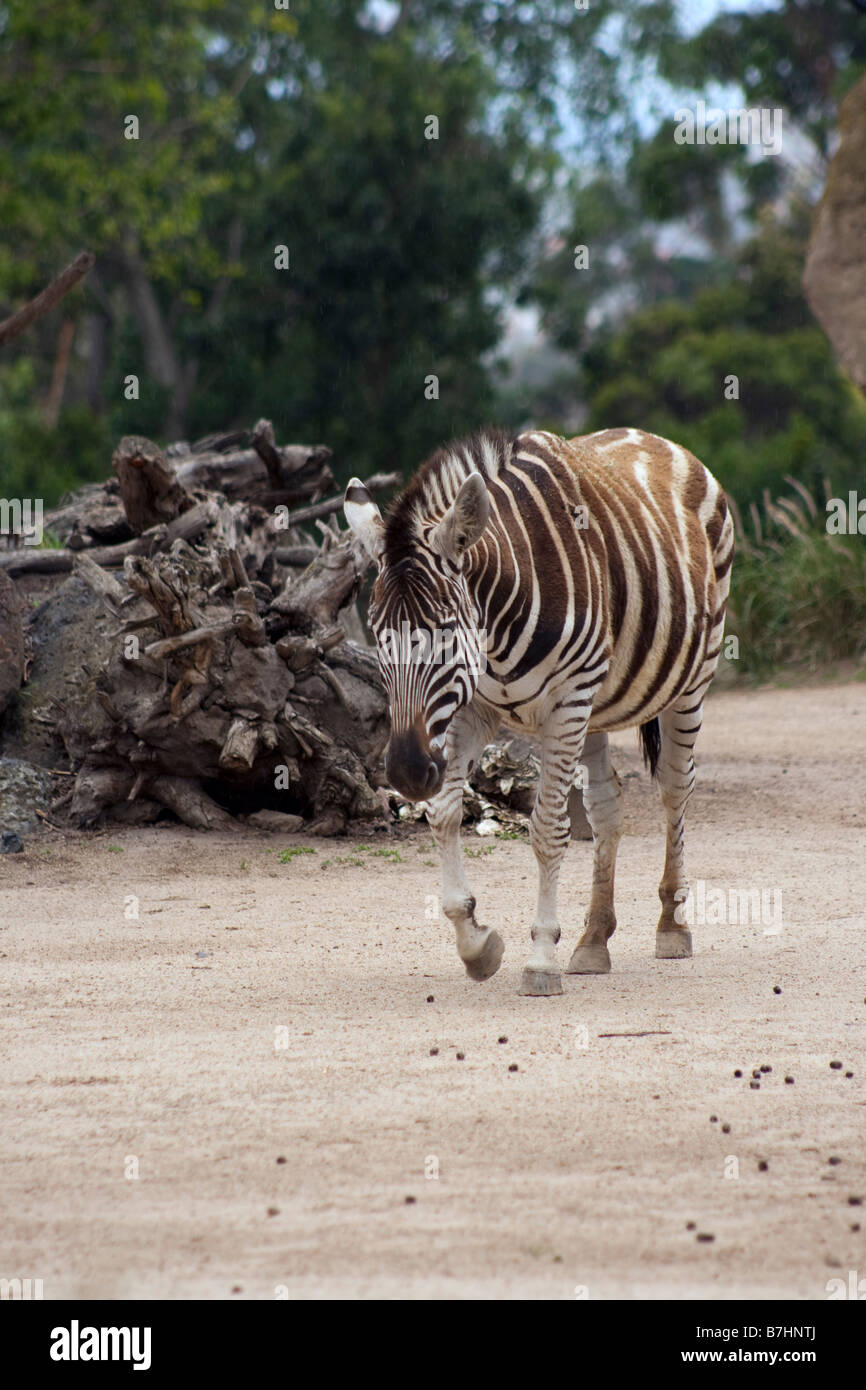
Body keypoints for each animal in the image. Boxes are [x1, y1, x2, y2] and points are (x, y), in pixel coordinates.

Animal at [341, 428, 733, 995]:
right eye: (377, 634)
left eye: (444, 629)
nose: (408, 772)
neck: (497, 627)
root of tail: (654, 438)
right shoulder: (472, 708)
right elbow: (443, 813)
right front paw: (477, 944)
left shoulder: (566, 703)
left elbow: (548, 830)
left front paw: (541, 959)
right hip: (596, 707)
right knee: (606, 806)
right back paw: (593, 940)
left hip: (688, 681)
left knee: (676, 787)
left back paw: (672, 927)